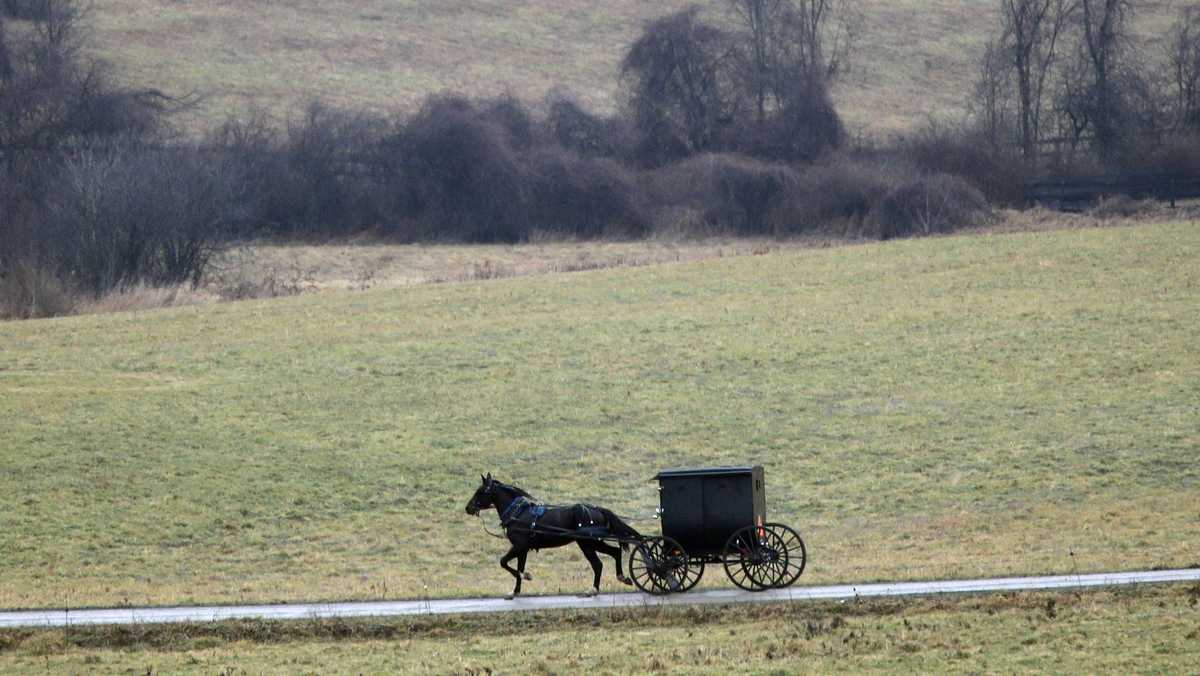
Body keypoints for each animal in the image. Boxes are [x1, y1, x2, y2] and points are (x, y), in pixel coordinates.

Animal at [464, 473, 642, 599]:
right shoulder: (523, 549)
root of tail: (597, 509)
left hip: (587, 543)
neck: (518, 513)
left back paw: (593, 589)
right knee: (615, 552)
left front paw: (526, 576)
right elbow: (518, 567)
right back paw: (622, 577)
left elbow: (504, 562)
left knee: (598, 564)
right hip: (594, 542)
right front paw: (515, 591)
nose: (468, 508)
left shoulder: (519, 546)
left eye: (480, 491)